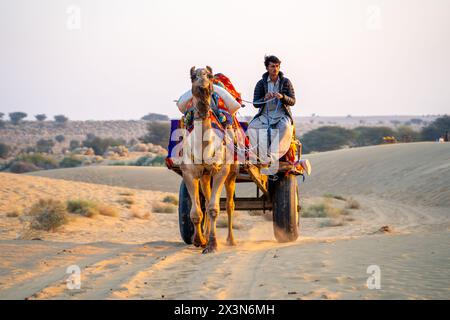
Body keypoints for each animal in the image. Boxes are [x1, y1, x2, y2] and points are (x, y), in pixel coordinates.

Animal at [179, 66, 241, 254]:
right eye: (193, 77)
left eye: (210, 76)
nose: (204, 86)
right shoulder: (189, 173)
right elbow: (196, 212)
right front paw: (199, 240)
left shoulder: (221, 171)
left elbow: (214, 208)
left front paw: (212, 245)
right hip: (205, 175)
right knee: (205, 201)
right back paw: (205, 235)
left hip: (232, 173)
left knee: (229, 205)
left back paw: (231, 240)